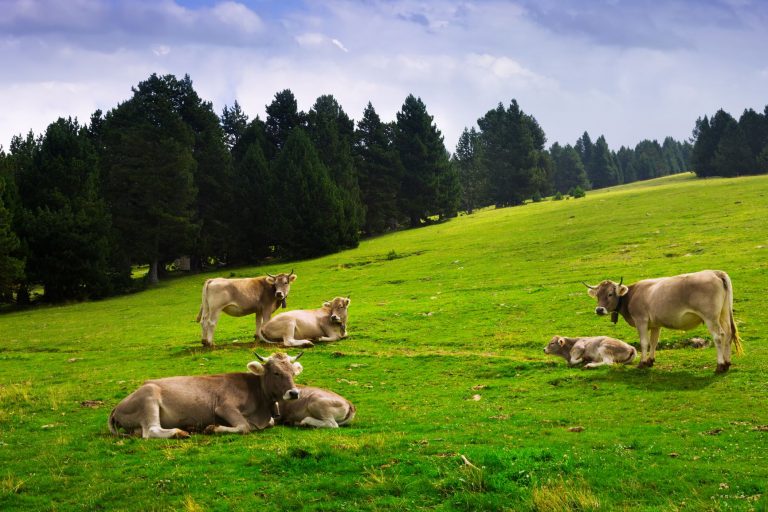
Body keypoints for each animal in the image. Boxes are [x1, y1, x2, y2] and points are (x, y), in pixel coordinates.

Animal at [109, 352, 306, 440]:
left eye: (293, 373)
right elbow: (244, 426)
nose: (294, 393)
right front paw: (213, 428)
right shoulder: (224, 407)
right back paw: (180, 432)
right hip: (149, 396)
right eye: (276, 372)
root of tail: (117, 406)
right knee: (150, 431)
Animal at [584, 270, 740, 374]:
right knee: (728, 334)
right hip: (724, 314)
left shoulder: (641, 320)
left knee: (719, 336)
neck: (631, 295)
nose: (599, 310)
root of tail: (715, 272)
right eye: (597, 295)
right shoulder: (655, 324)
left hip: (710, 317)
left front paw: (642, 363)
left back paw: (720, 366)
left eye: (610, 294)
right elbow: (654, 342)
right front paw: (650, 361)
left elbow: (644, 342)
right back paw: (727, 363)